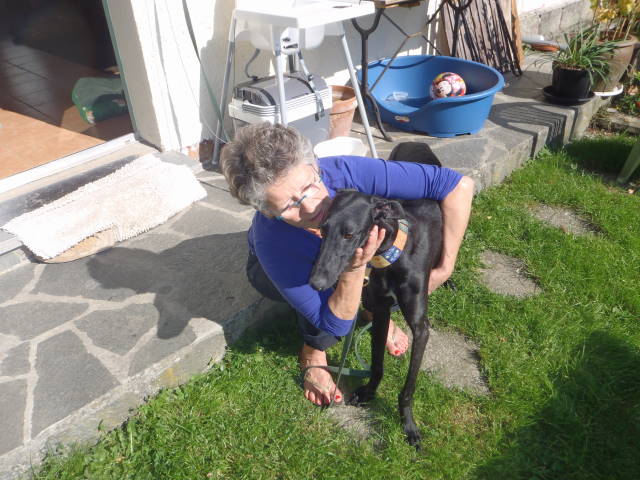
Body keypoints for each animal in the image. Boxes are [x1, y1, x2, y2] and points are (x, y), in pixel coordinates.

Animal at [309, 142, 444, 448]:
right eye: (323, 229)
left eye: (349, 234)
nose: (316, 283)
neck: (393, 255)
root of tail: (415, 142)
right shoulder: (381, 311)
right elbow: (377, 363)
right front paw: (369, 391)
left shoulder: (422, 329)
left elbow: (408, 387)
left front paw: (408, 425)